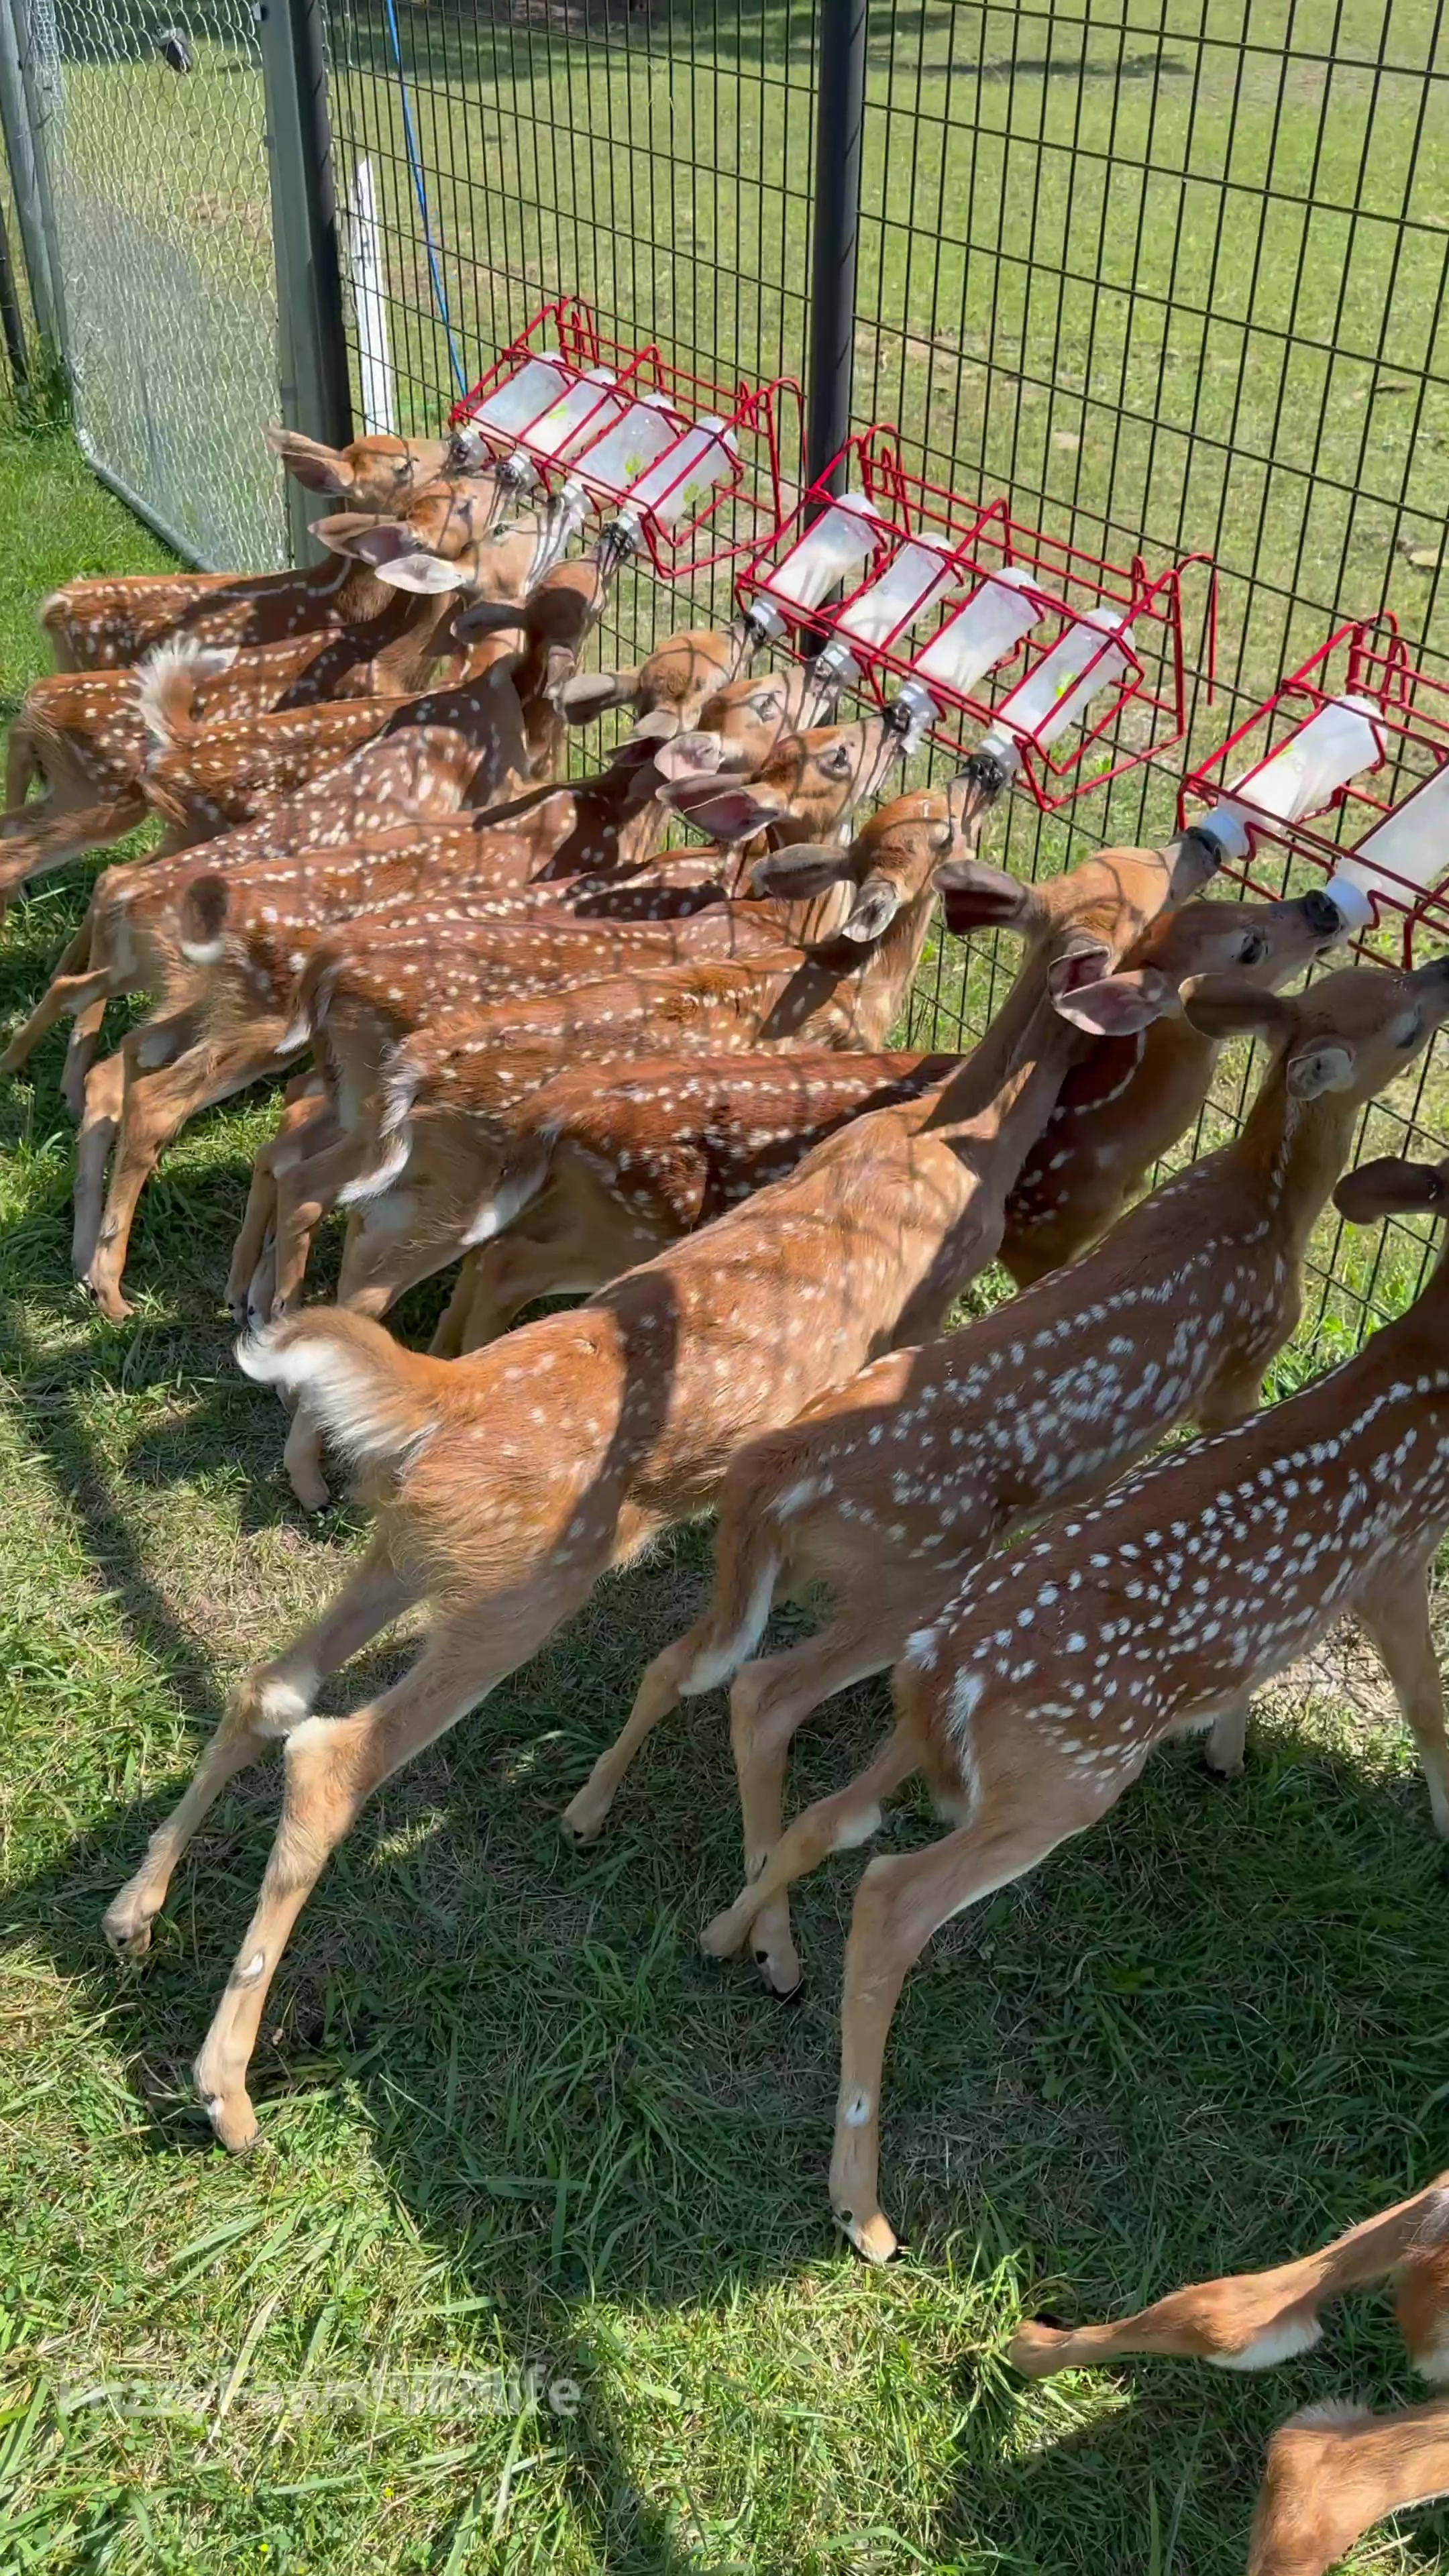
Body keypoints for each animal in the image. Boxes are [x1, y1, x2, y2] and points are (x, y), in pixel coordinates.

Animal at [97, 795, 1221, 2152]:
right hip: (522, 1589)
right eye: (1144, 883)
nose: (1204, 840)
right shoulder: (913, 1321)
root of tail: (448, 1404)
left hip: (411, 1551)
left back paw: (132, 1915)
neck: (954, 1139)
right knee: (332, 1759)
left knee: (267, 1685)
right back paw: (229, 2091)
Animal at [697, 1100, 1449, 2264]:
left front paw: (1228, 1747)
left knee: (820, 1797)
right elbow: (1430, 1710)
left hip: (932, 1711)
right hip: (1066, 1779)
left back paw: (738, 1942)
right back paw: (865, 2210)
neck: (1425, 1360)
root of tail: (950, 1669)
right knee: (888, 1889)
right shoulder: (1400, 1560)